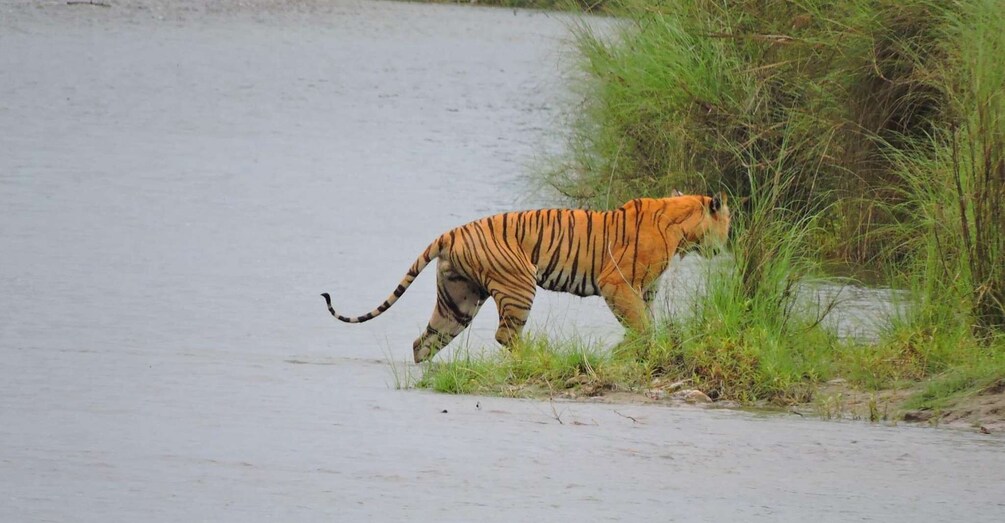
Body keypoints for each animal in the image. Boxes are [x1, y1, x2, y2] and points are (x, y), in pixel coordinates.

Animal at [321, 192, 731, 364]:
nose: (726, 243)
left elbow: (648, 325)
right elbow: (643, 327)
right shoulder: (618, 285)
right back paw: (540, 356)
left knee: (425, 341)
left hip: (458, 299)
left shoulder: (644, 291)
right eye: (727, 221)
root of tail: (451, 232)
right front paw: (628, 352)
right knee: (506, 335)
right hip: (519, 284)